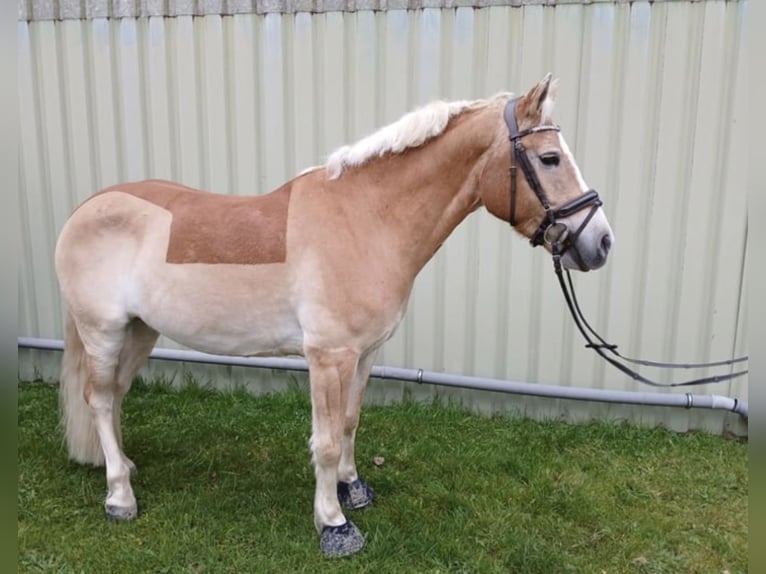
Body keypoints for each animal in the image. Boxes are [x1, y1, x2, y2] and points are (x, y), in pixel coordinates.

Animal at [54, 74, 616, 560]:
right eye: (549, 158)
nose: (601, 242)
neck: (367, 220)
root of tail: (86, 208)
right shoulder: (328, 356)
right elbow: (323, 442)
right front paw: (333, 524)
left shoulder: (363, 354)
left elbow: (349, 422)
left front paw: (352, 489)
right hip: (103, 332)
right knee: (99, 399)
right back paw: (120, 498)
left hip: (140, 331)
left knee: (116, 395)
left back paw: (123, 467)